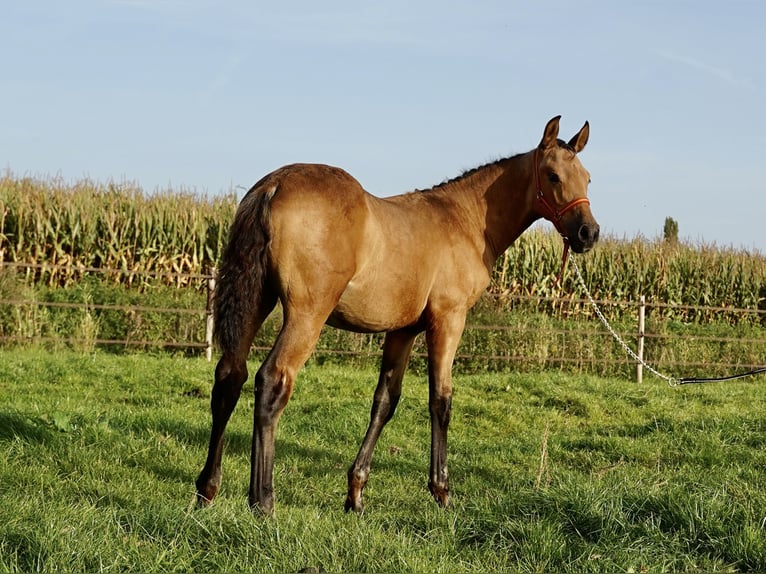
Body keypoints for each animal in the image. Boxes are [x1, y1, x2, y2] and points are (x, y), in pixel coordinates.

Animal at [196, 115, 600, 516]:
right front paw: (441, 491)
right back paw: (262, 501)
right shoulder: (448, 321)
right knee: (272, 380)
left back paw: (207, 489)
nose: (588, 233)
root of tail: (273, 186)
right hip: (306, 314)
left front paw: (356, 494)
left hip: (257, 301)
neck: (465, 221)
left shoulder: (402, 331)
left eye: (588, 178)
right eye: (552, 176)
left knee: (230, 377)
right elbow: (441, 400)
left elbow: (385, 401)